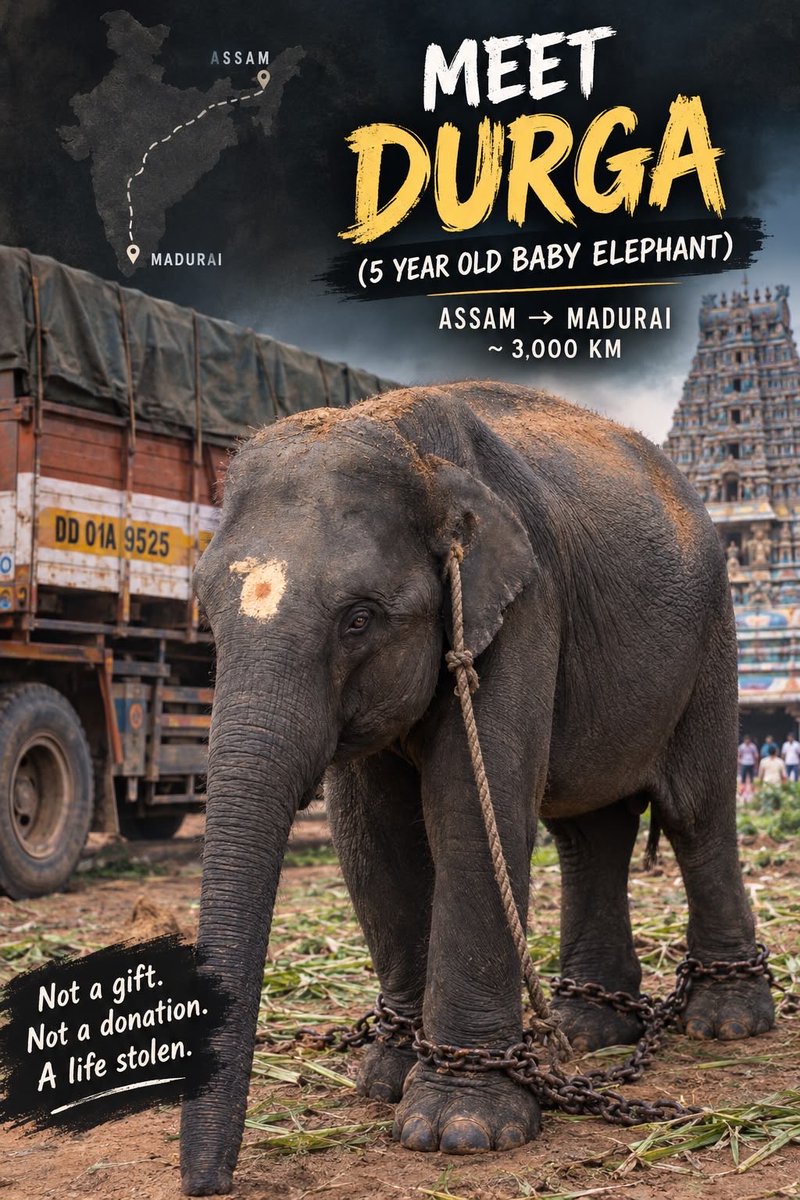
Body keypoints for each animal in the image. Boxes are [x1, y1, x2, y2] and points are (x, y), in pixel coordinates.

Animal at [180, 381, 774, 1195]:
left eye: (359, 618)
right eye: (206, 613)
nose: (208, 1184)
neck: (413, 448)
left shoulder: (527, 604)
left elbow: (467, 805)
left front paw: (458, 1131)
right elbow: (372, 835)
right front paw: (385, 1079)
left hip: (713, 635)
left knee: (695, 813)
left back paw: (728, 1022)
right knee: (590, 832)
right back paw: (588, 1027)